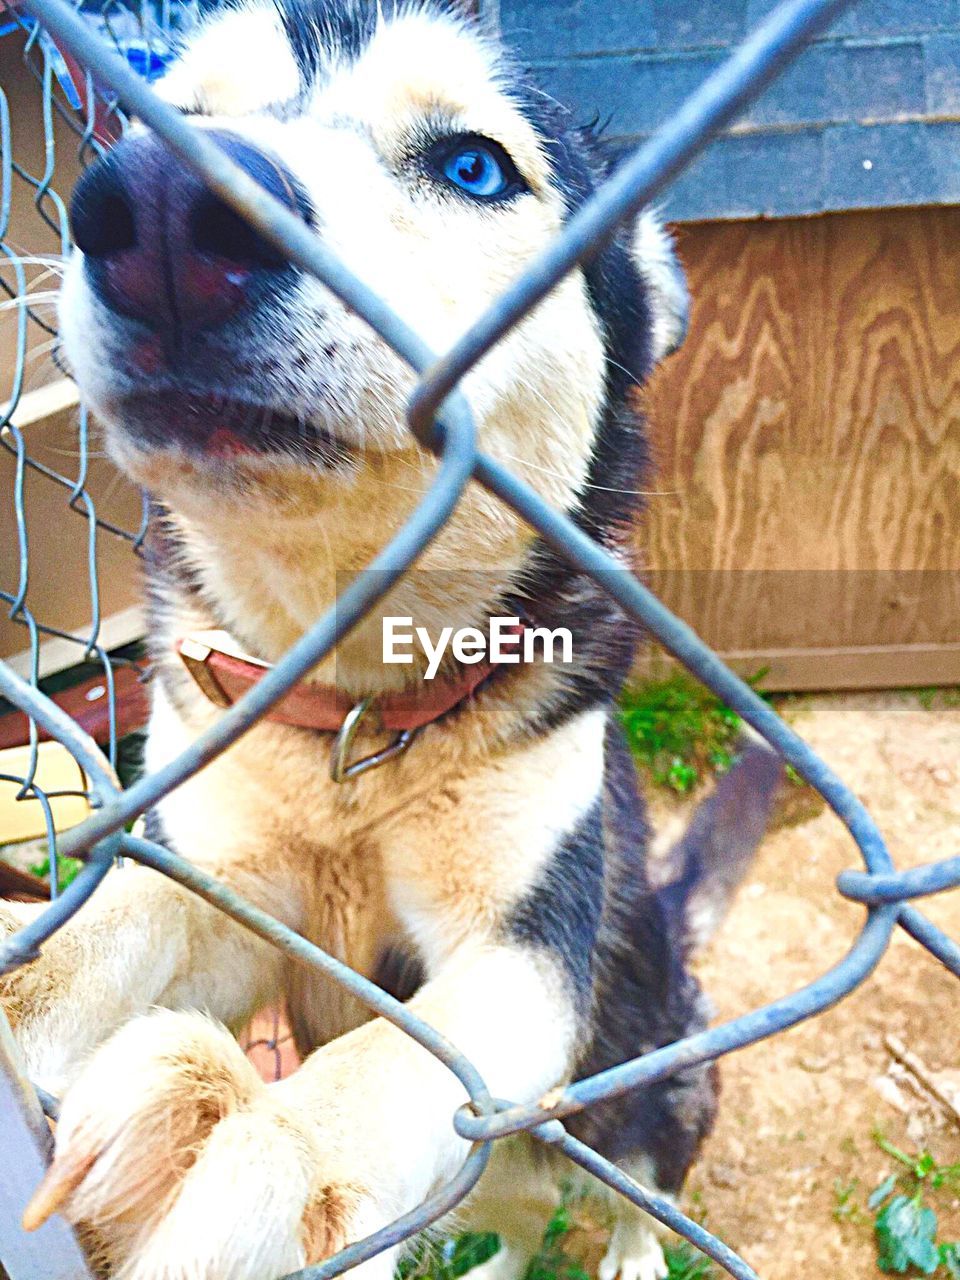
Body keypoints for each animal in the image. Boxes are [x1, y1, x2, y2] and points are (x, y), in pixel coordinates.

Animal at [0, 5, 783, 1274]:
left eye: (473, 165)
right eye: (178, 118)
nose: (160, 204)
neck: (354, 707)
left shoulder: (528, 949)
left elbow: (395, 1054)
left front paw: (268, 1149)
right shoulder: (225, 876)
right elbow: (115, 927)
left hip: (648, 1090)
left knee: (635, 1178)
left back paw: (631, 1245)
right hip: (505, 1165)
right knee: (518, 1214)